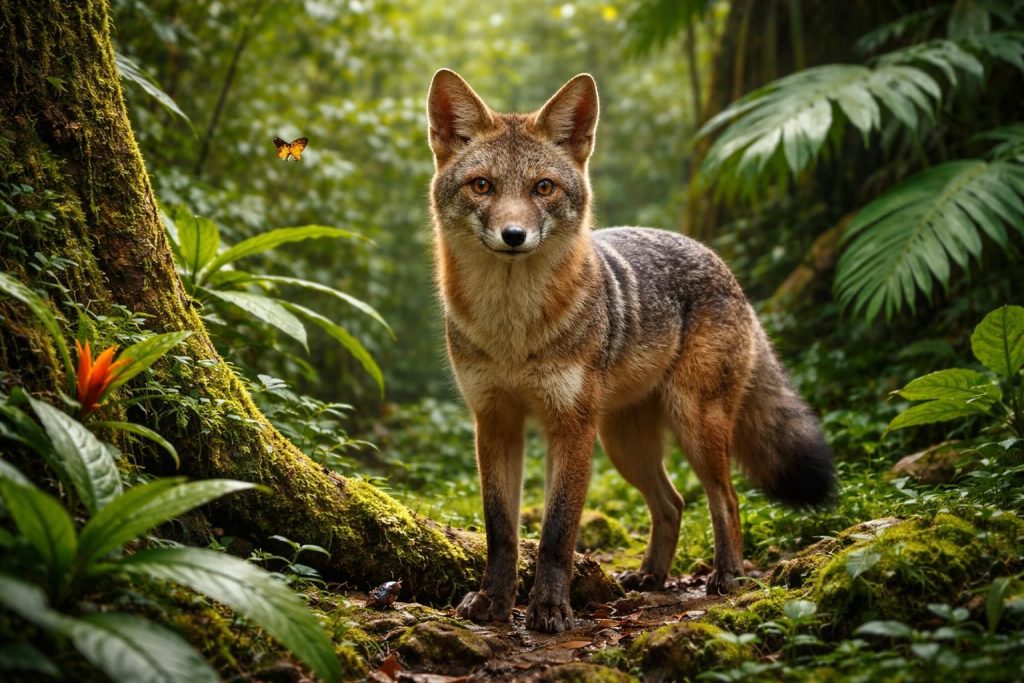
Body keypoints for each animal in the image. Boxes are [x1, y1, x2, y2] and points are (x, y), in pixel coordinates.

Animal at [426, 69, 836, 634]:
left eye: (542, 187)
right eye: (482, 185)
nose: (514, 235)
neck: (514, 331)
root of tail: (719, 262)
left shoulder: (570, 427)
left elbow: (557, 532)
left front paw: (550, 608)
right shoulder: (494, 422)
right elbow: (501, 529)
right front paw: (494, 602)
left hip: (692, 426)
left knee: (726, 498)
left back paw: (728, 575)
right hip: (625, 444)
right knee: (673, 503)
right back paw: (651, 577)